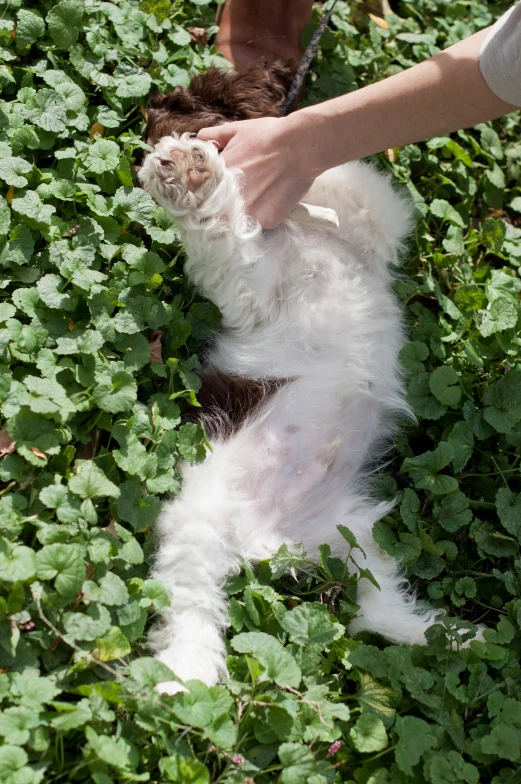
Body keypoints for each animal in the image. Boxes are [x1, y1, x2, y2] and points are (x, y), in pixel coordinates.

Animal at [138, 64, 442, 696]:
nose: (158, 150)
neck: (303, 234)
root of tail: (270, 539)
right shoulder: (250, 290)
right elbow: (228, 236)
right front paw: (191, 180)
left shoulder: (365, 224)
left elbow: (351, 191)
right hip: (200, 519)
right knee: (194, 602)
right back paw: (184, 674)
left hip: (355, 541)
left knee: (381, 612)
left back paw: (452, 639)